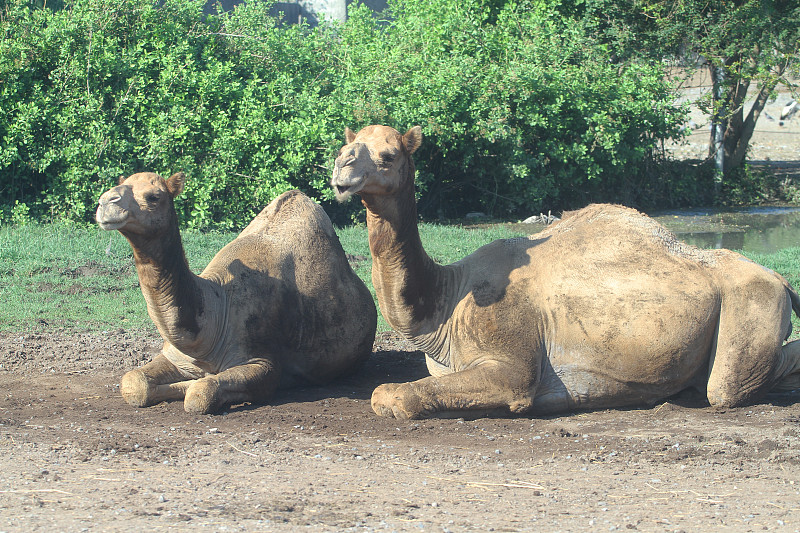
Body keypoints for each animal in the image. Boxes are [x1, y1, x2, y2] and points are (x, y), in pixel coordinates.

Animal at [95, 172, 376, 414]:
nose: (106, 202)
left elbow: (200, 393)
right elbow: (134, 382)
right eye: (123, 184)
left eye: (154, 196)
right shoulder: (176, 356)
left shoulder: (261, 361)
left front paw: (196, 384)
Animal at [332, 124, 800, 420]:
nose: (341, 168)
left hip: (752, 306)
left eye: (388, 155)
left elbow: (393, 395)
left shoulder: (513, 362)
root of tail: (781, 280)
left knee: (727, 387)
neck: (446, 302)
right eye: (345, 148)